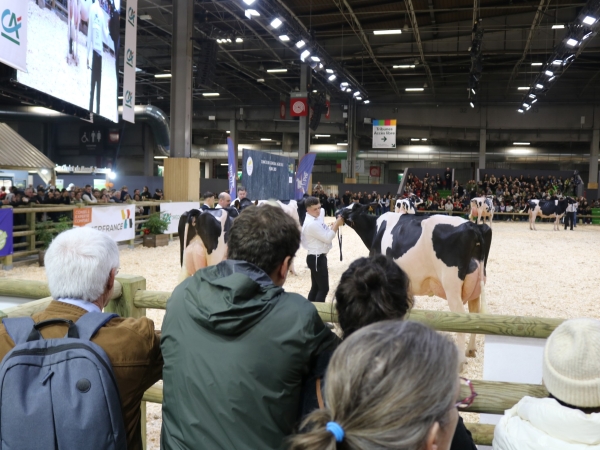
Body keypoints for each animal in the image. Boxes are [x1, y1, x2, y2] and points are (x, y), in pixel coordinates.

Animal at [338, 203, 492, 356]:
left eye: (353, 207)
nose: (338, 211)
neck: (376, 229)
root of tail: (473, 226)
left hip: (451, 286)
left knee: (461, 318)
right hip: (476, 286)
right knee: (475, 315)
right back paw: (470, 350)